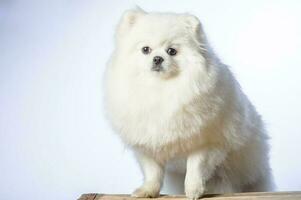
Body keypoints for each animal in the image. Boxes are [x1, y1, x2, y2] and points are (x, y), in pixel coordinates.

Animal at [104, 9, 274, 198]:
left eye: (172, 51)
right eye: (145, 50)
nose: (157, 58)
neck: (161, 89)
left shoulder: (205, 142)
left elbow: (195, 168)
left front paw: (193, 191)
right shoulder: (147, 145)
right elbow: (153, 172)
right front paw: (147, 191)